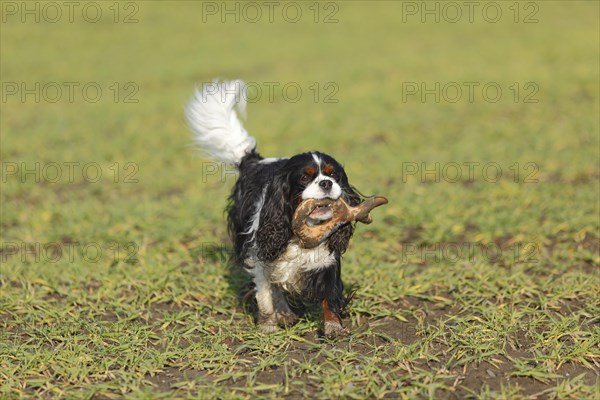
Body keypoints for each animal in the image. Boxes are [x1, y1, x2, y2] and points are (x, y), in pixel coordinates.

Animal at [185, 79, 360, 336]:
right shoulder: (261, 255)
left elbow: (329, 295)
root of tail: (253, 160)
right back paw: (284, 313)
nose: (326, 183)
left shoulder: (327, 260)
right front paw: (268, 325)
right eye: (305, 178)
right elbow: (266, 294)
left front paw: (333, 326)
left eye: (333, 175)